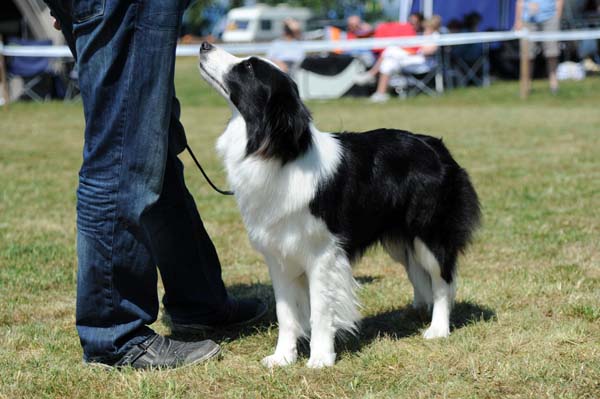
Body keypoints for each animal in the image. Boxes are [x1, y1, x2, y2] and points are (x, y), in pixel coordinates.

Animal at [199, 43, 480, 368]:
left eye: (247, 67)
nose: (204, 45)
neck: (278, 153)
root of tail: (437, 146)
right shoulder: (279, 253)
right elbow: (285, 312)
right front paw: (283, 357)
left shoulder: (323, 254)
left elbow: (321, 309)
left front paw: (321, 358)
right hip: (399, 240)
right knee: (418, 273)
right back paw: (418, 311)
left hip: (429, 231)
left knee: (442, 277)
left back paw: (437, 328)